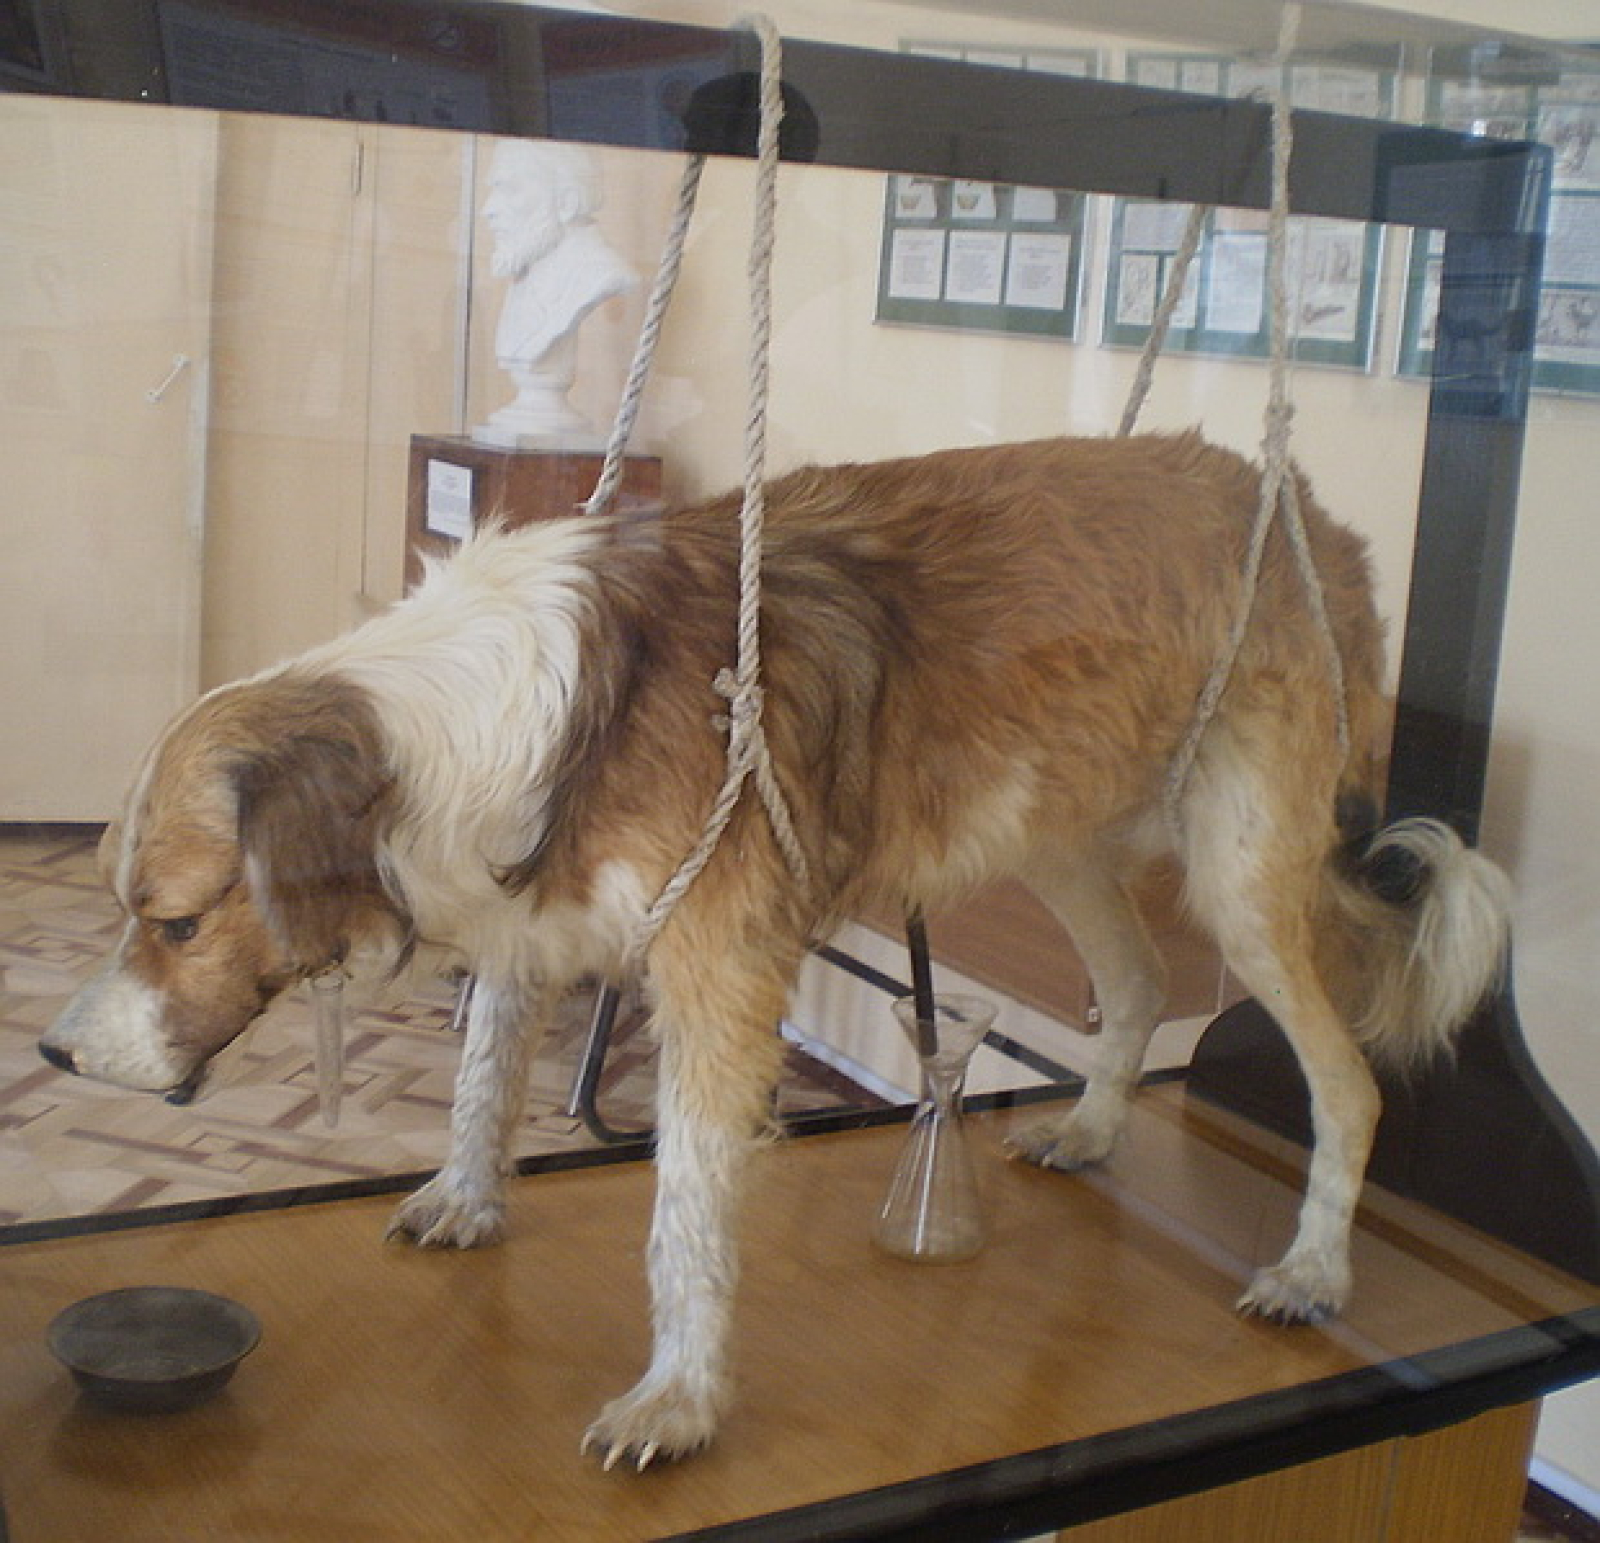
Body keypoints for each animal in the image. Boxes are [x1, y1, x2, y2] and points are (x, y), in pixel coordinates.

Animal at [40, 433, 1510, 1467]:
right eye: (129, 908)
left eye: (174, 919)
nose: (53, 1050)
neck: (466, 723)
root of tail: (1305, 509)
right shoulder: (530, 919)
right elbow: (480, 1077)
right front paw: (468, 1196)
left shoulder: (718, 978)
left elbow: (684, 1207)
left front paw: (679, 1400)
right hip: (1053, 837)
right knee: (1141, 984)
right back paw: (1093, 1129)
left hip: (1240, 876)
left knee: (1348, 1079)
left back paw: (1312, 1272)